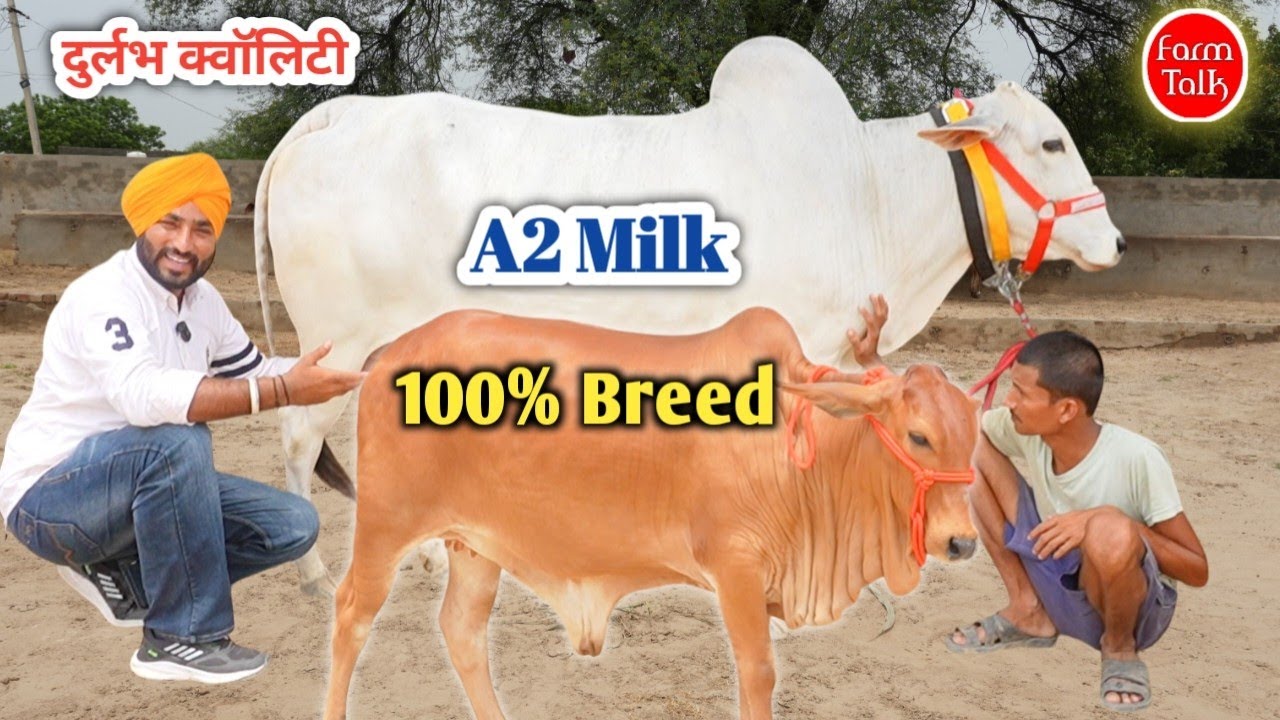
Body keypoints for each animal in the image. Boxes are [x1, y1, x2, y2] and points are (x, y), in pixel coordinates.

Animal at [254, 36, 1122, 595]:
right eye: (1051, 144)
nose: (1112, 240)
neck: (867, 191)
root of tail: (330, 116)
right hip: (339, 341)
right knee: (298, 440)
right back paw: (318, 572)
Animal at [322, 307, 981, 720]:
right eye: (918, 436)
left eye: (972, 437)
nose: (963, 542)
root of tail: (391, 349)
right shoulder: (737, 570)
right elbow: (757, 673)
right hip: (386, 525)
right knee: (351, 614)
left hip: (476, 544)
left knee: (461, 629)